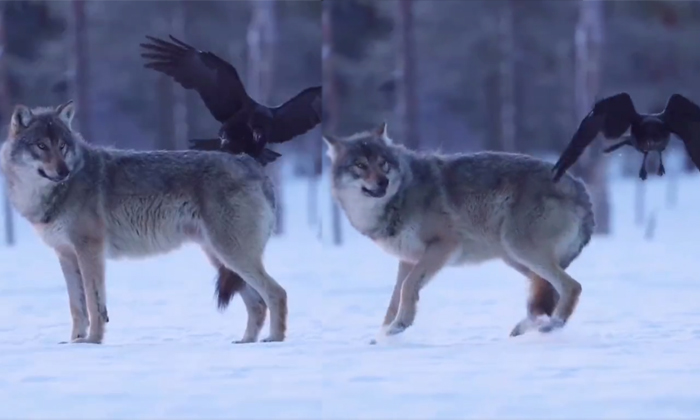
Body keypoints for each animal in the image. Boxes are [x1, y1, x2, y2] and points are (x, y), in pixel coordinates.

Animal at [0, 101, 287, 344]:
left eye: (62, 146)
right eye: (41, 146)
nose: (63, 172)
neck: (52, 194)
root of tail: (251, 163)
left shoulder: (89, 250)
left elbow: (94, 304)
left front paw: (93, 341)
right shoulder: (66, 255)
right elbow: (76, 306)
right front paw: (75, 342)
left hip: (232, 255)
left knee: (277, 293)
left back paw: (274, 340)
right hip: (222, 260)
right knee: (257, 304)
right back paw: (245, 342)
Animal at [323, 123, 595, 338]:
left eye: (383, 164)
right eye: (360, 165)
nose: (383, 182)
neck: (399, 199)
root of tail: (580, 187)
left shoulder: (443, 245)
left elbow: (408, 287)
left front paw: (399, 326)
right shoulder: (408, 259)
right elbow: (394, 299)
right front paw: (384, 334)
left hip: (520, 250)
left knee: (572, 287)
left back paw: (551, 326)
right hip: (516, 259)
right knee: (549, 292)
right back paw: (527, 328)